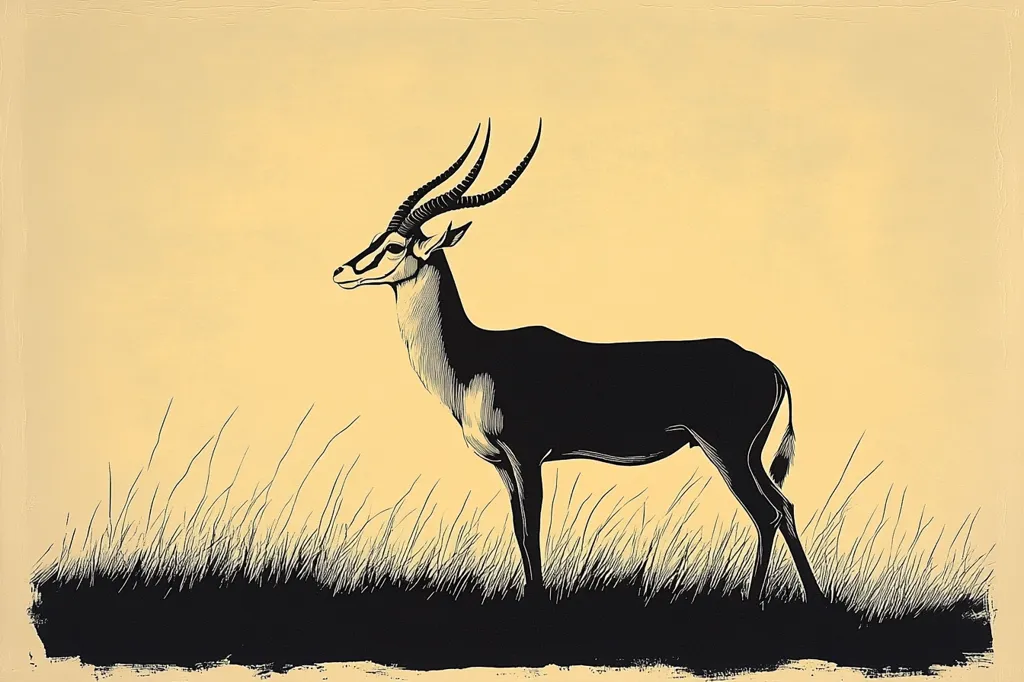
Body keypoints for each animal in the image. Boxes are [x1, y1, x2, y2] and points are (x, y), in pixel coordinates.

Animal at [332, 120, 824, 604]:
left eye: (396, 246)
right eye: (377, 238)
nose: (341, 271)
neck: (474, 359)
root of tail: (768, 365)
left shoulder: (527, 457)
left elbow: (532, 534)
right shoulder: (503, 467)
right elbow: (519, 533)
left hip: (727, 451)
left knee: (766, 514)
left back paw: (755, 600)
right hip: (749, 456)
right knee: (784, 506)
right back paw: (814, 599)